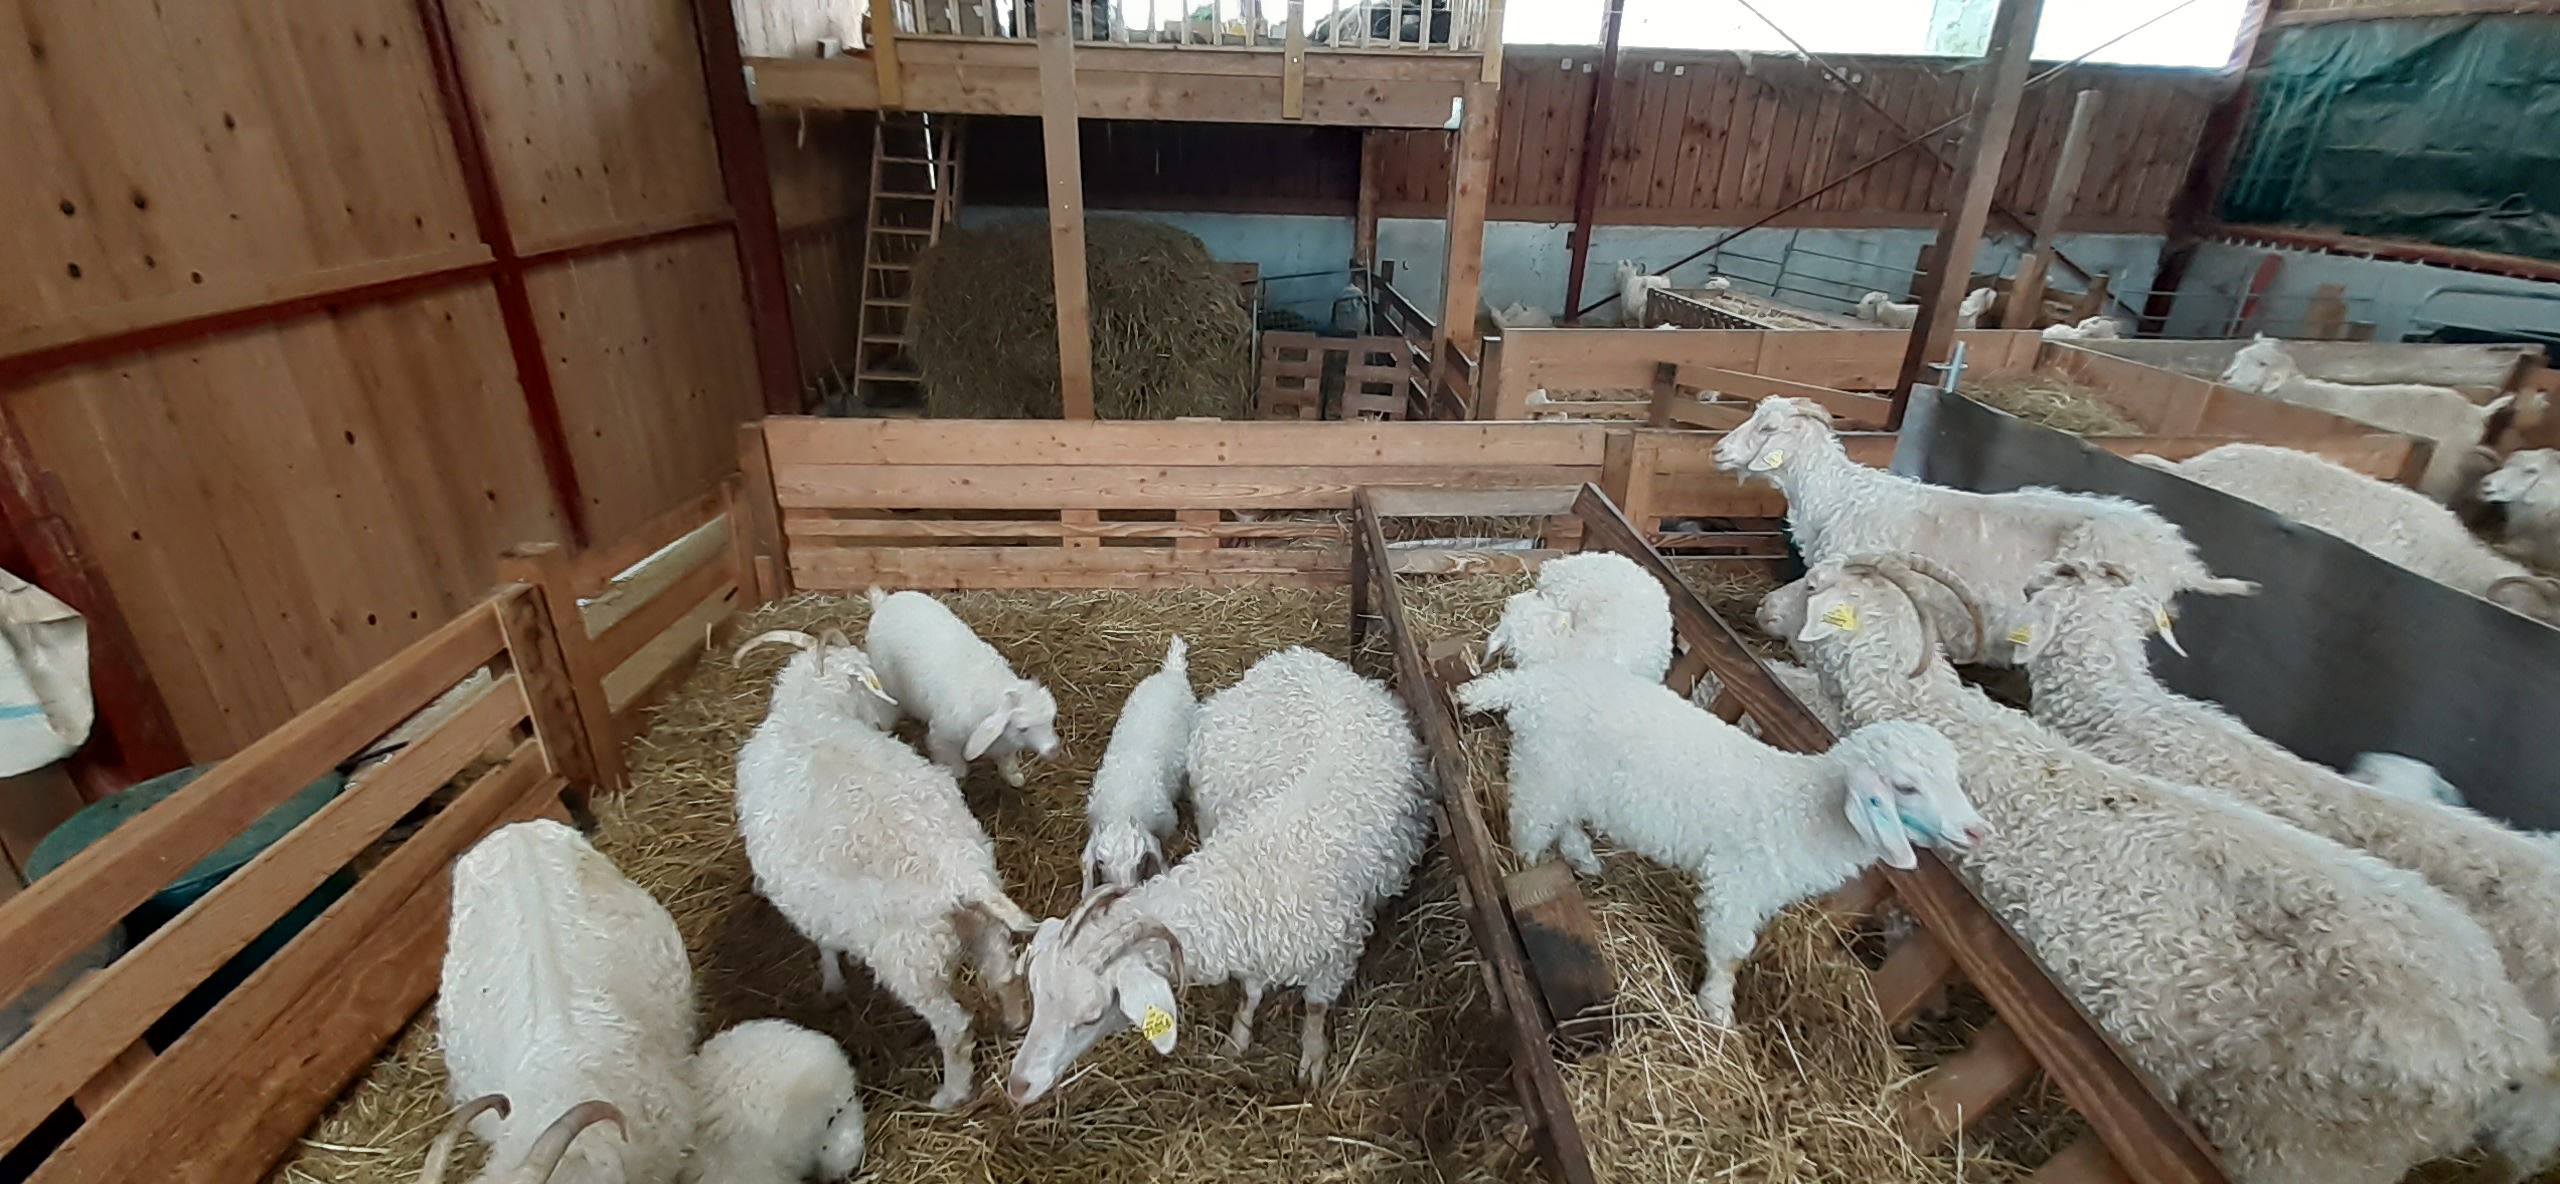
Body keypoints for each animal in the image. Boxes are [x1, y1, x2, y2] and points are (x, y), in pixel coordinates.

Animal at [734, 630, 1037, 1111]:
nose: (889, 714)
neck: (811, 715)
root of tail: (961, 876)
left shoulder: (809, 899)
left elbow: (823, 943)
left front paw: (832, 982)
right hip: (982, 927)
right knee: (1004, 976)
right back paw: (1014, 1024)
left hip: (911, 962)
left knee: (954, 1027)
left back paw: (949, 1094)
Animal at [863, 588, 1063, 788]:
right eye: (1023, 728)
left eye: (1051, 720)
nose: (1053, 749)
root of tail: (885, 601)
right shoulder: (943, 740)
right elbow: (958, 769)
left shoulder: (1005, 744)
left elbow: (1007, 761)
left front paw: (1014, 777)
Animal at [1081, 636, 1198, 891]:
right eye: (1101, 862)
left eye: (1140, 859)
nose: (1126, 891)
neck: (1121, 809)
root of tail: (1170, 673)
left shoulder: (1167, 823)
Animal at [1455, 658, 1986, 1024]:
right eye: (1906, 786)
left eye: (1956, 775)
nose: (1975, 831)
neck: (1803, 808)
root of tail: (1533, 684)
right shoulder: (1737, 879)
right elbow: (1731, 950)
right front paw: (1717, 1011)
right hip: (1543, 774)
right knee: (1527, 831)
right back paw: (1531, 872)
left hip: (1567, 781)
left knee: (1566, 822)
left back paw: (1583, 858)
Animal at [2221, 335, 2514, 501]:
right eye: (2239, 355)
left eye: (2262, 364)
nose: (2226, 377)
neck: (2296, 390)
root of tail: (2478, 411)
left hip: (2441, 468)